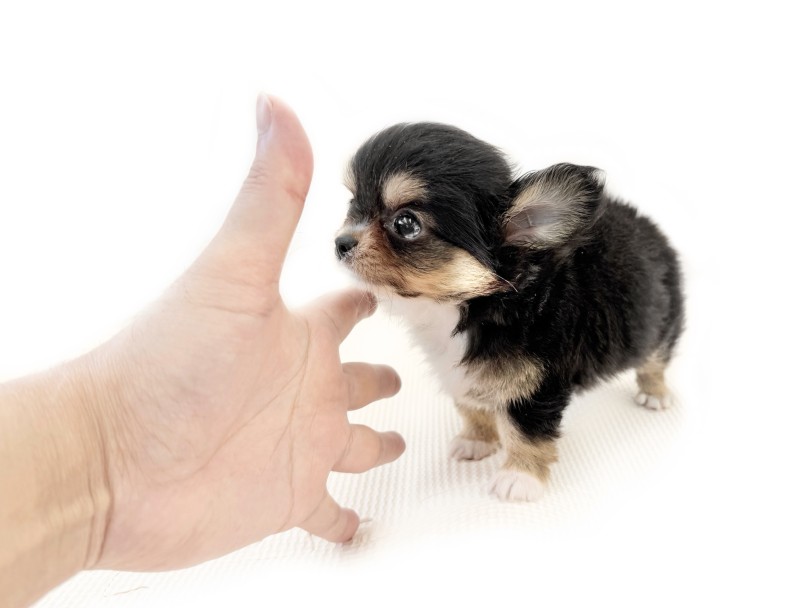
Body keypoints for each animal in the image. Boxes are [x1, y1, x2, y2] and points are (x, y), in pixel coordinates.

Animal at [335, 123, 684, 501]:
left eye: (406, 224)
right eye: (353, 203)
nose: (341, 243)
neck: (472, 306)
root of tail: (647, 226)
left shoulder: (535, 385)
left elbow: (526, 432)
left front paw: (520, 477)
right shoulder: (460, 372)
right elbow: (471, 406)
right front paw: (476, 440)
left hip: (661, 323)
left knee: (656, 359)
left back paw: (655, 393)